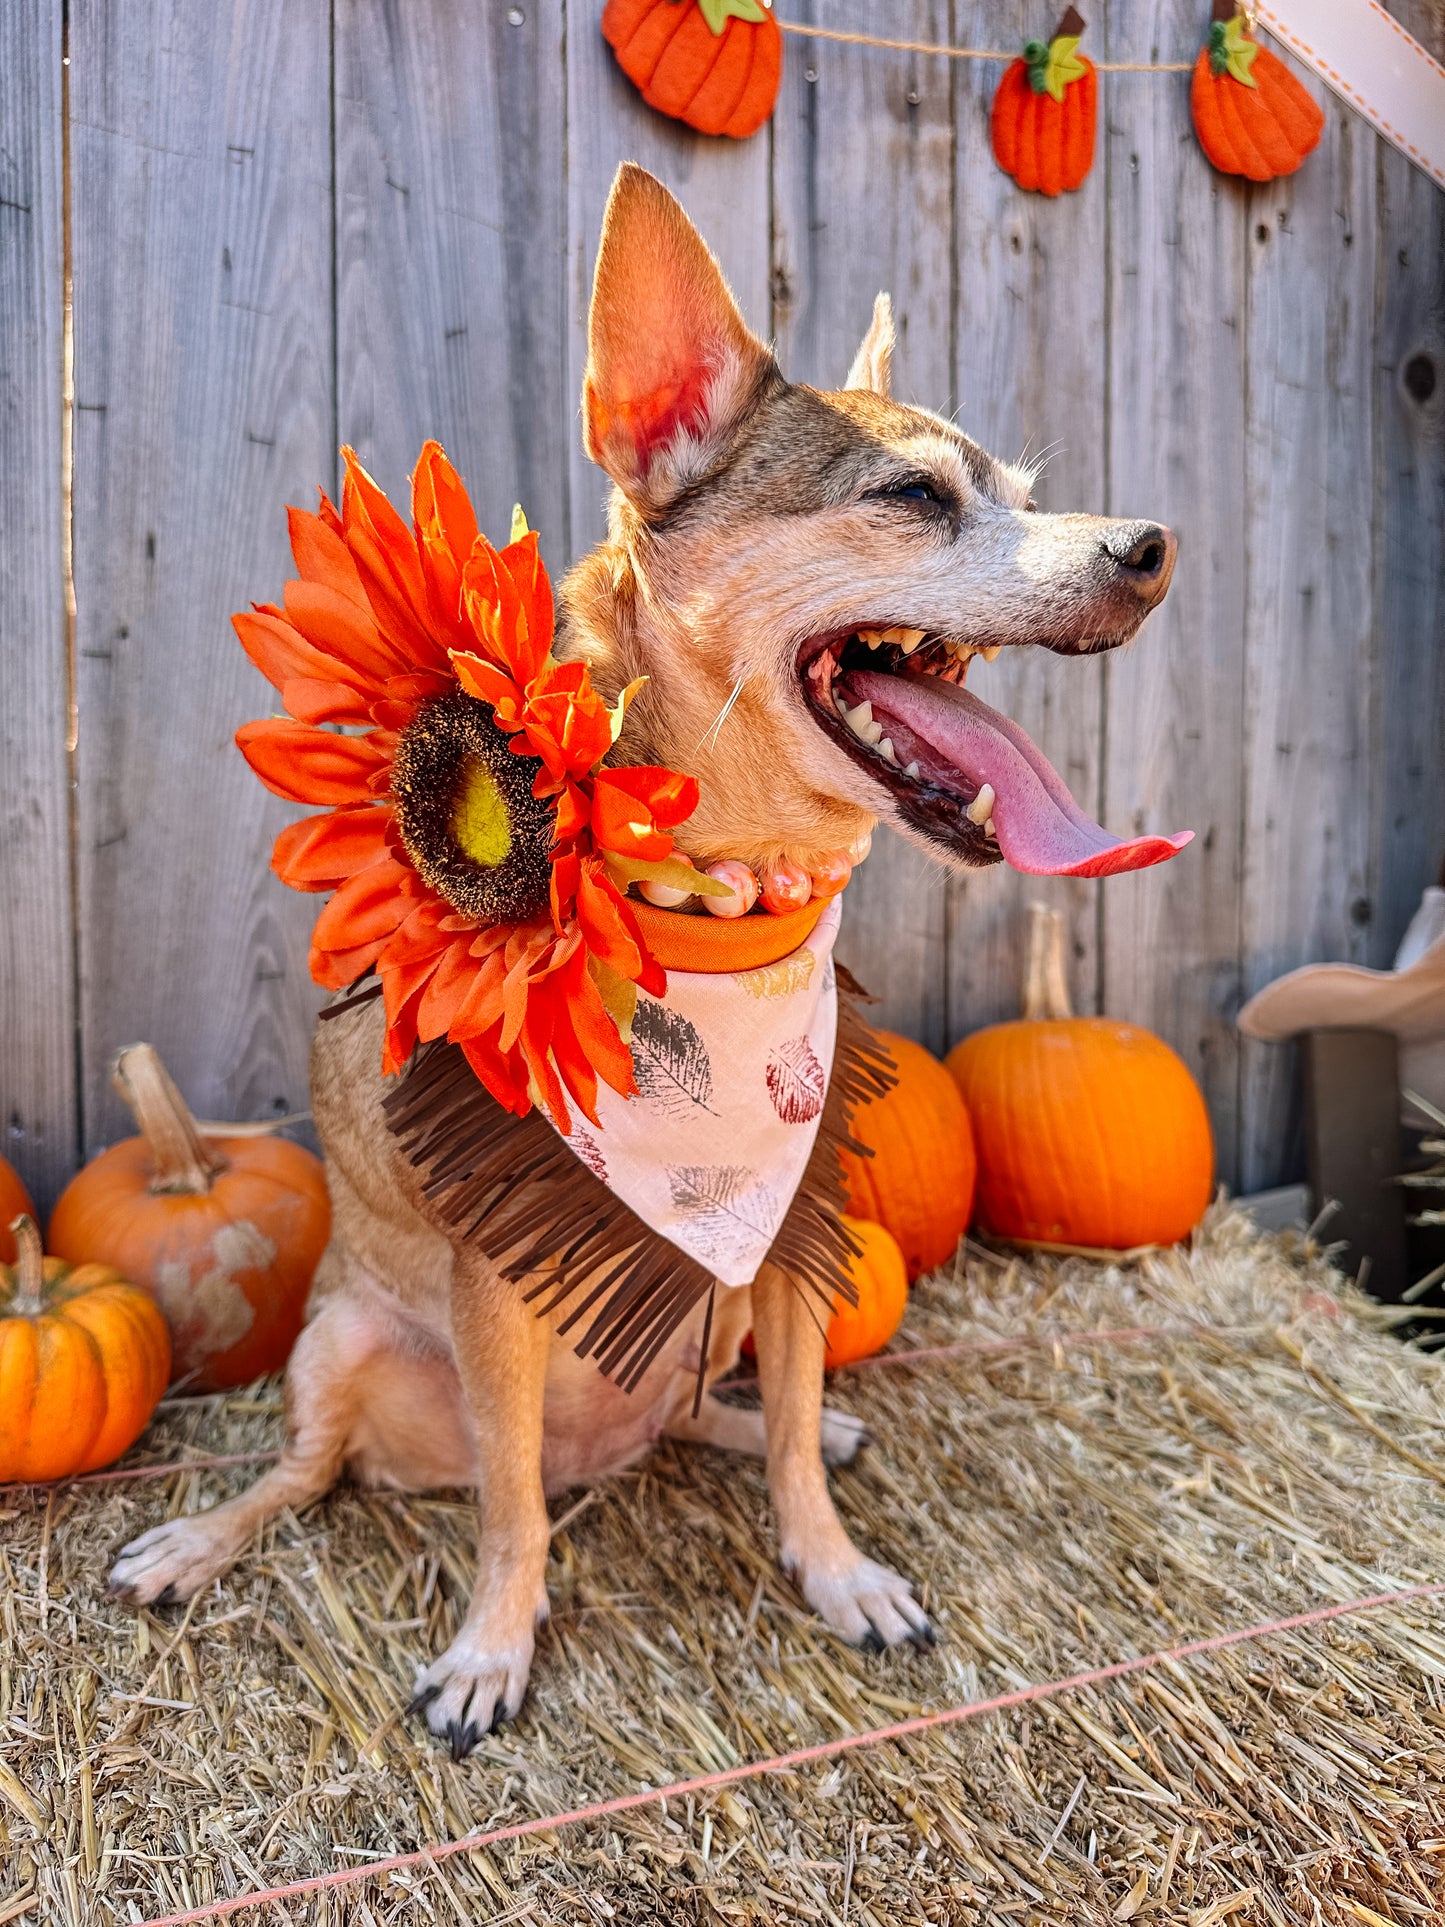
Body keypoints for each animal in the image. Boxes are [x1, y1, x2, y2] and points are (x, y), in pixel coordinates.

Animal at [110, 169, 1179, 1765]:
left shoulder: (790, 1238)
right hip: (341, 1339)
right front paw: (494, 1644)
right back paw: (198, 1541)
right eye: (911, 498)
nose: (1147, 548)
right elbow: (506, 1510)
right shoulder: (498, 1284)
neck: (715, 910)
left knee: (713, 1413)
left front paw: (833, 1562)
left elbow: (792, 1439)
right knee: (320, 1474)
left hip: (705, 1306)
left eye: (1029, 496)